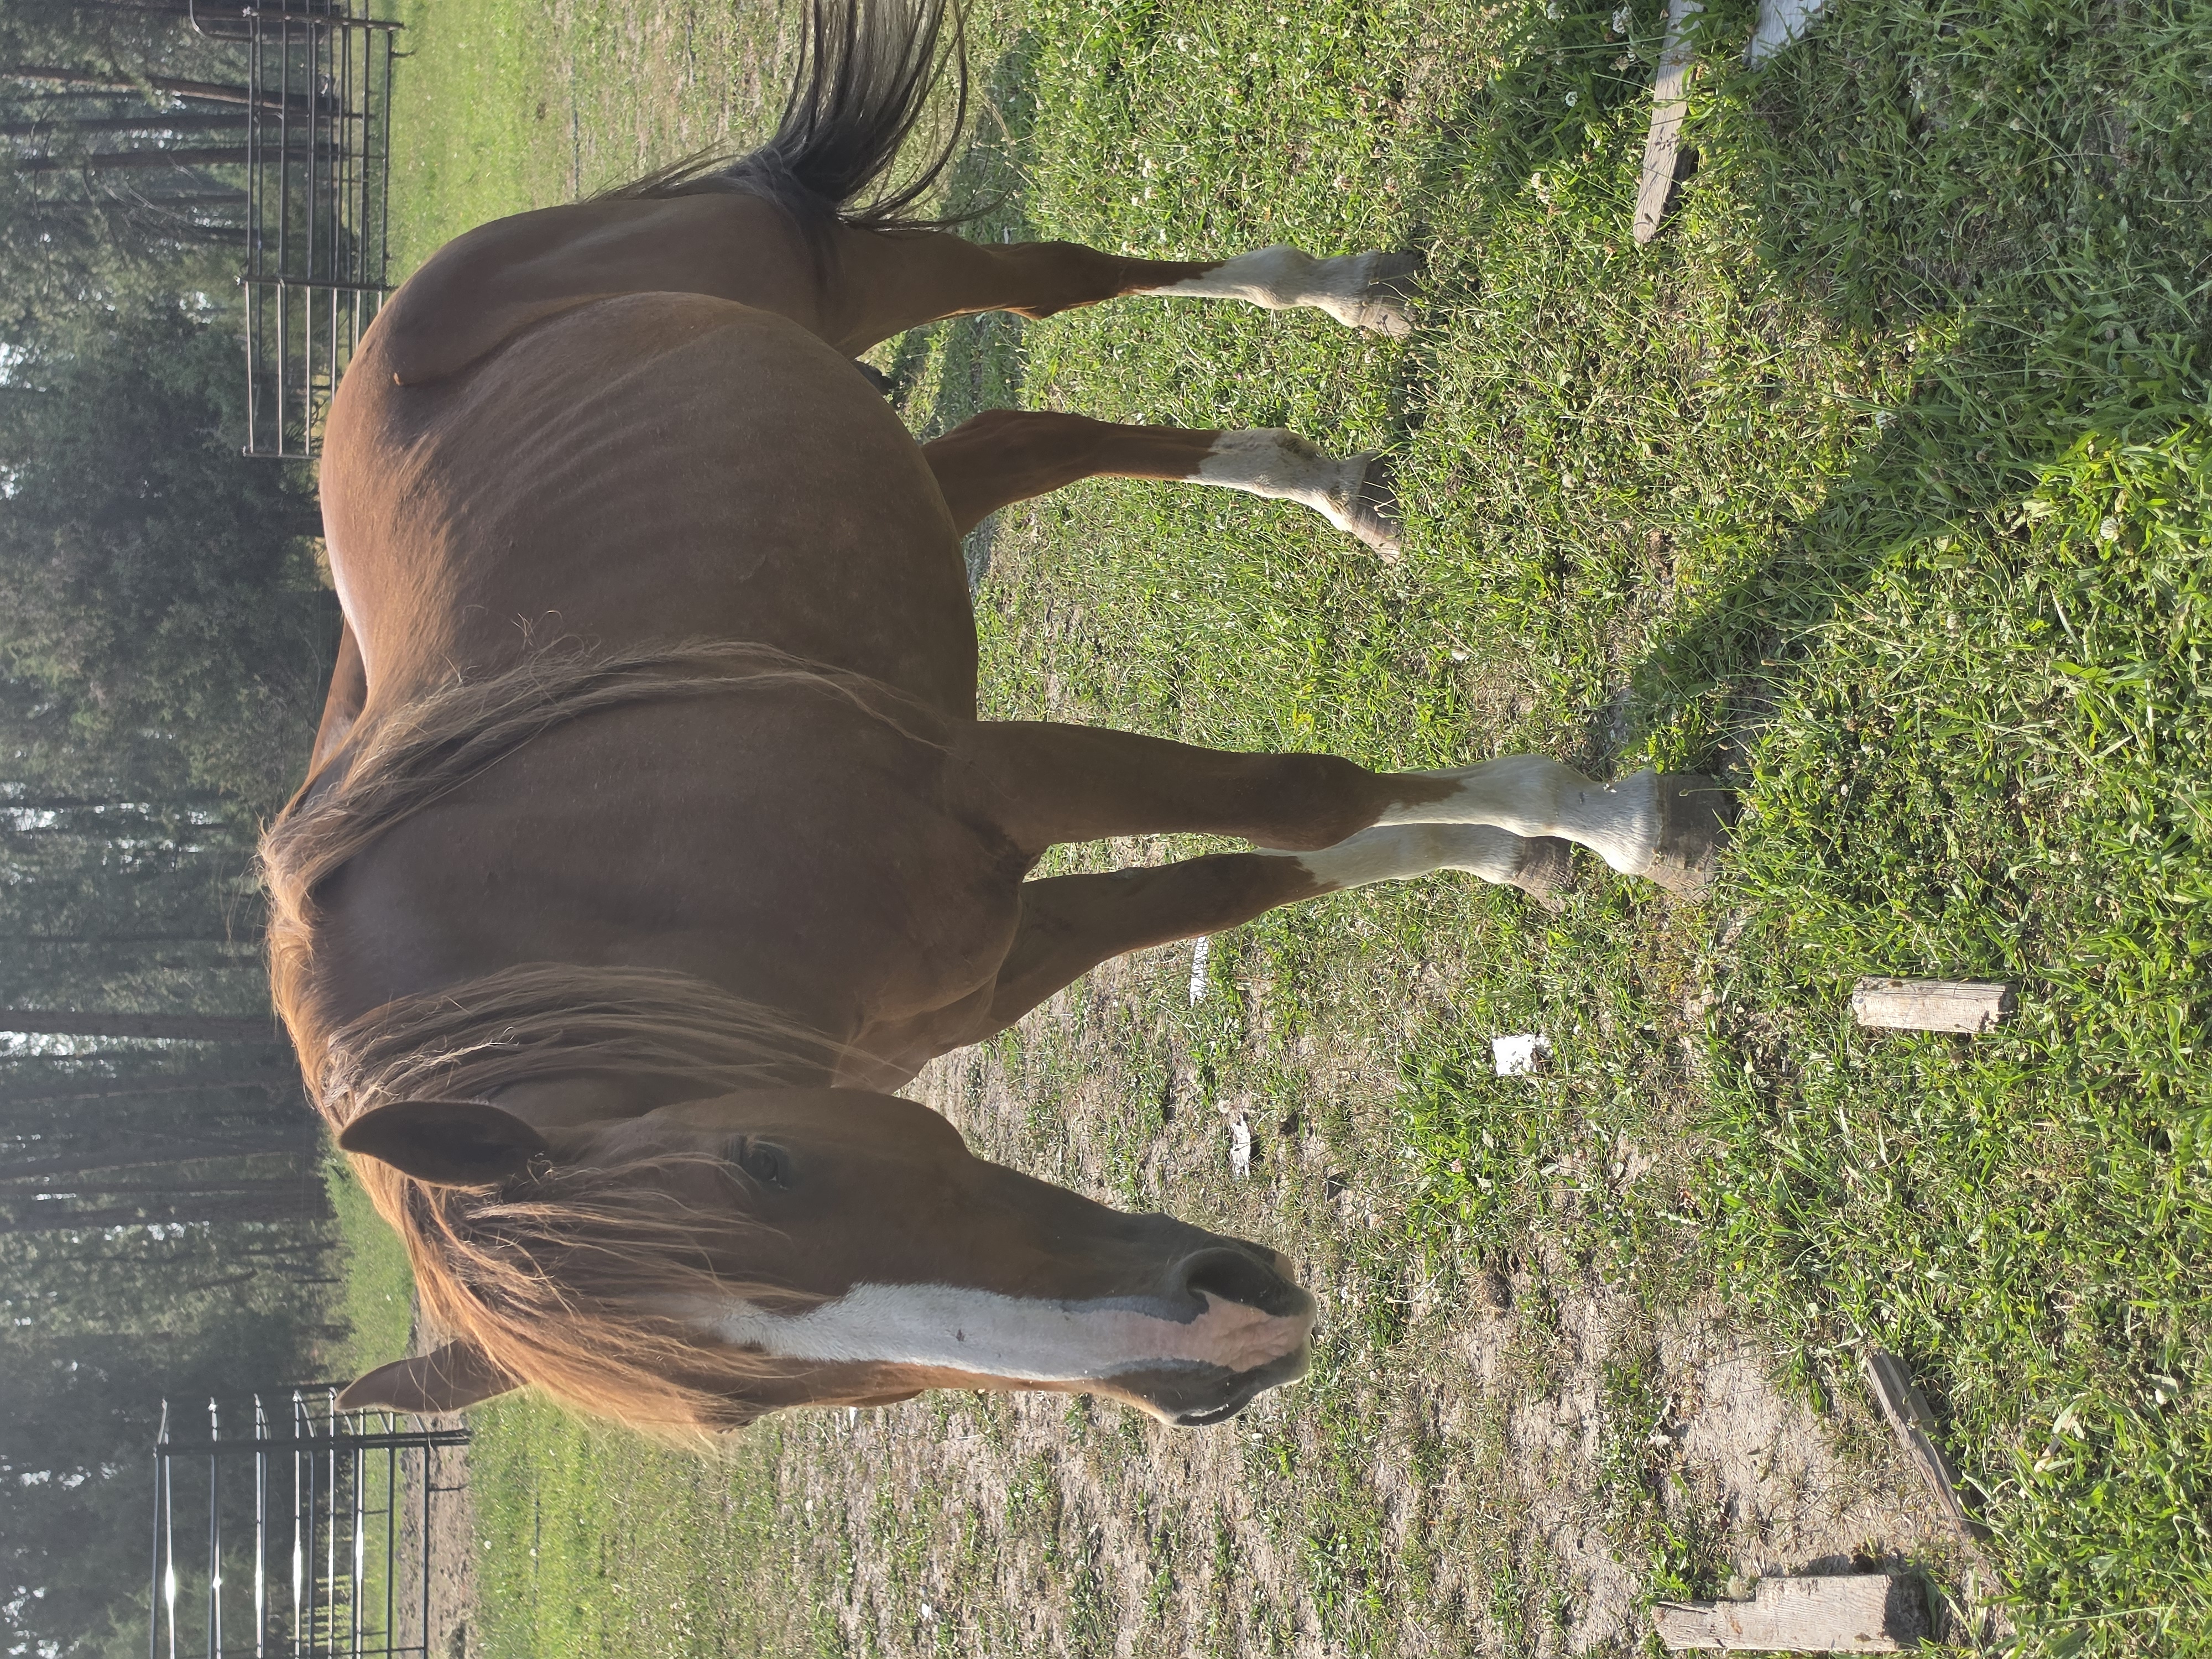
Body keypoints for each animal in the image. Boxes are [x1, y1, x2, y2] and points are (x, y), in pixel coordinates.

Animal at [276, 0, 1731, 1435]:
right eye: (747, 1407)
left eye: (767, 1161)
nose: (1227, 1341)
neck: (617, 931)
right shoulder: (1001, 951)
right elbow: (1250, 880)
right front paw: (1512, 854)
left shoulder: (996, 783)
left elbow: (1301, 797)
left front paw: (1611, 820)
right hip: (906, 477)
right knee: (1032, 438)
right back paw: (1326, 481)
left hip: (858, 281)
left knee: (1052, 281)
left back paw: (1342, 294)